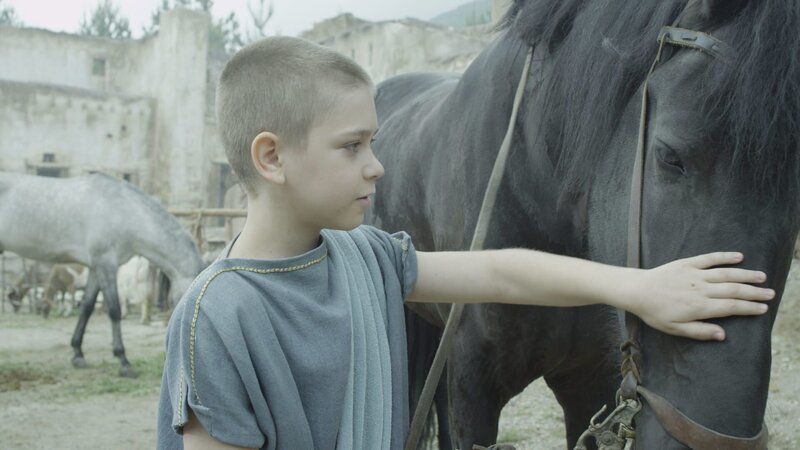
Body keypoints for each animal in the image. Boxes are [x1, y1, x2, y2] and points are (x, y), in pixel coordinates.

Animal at [0, 172, 205, 377]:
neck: (124, 211)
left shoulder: (96, 268)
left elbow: (87, 307)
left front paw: (78, 354)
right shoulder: (106, 264)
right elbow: (114, 310)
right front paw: (123, 361)